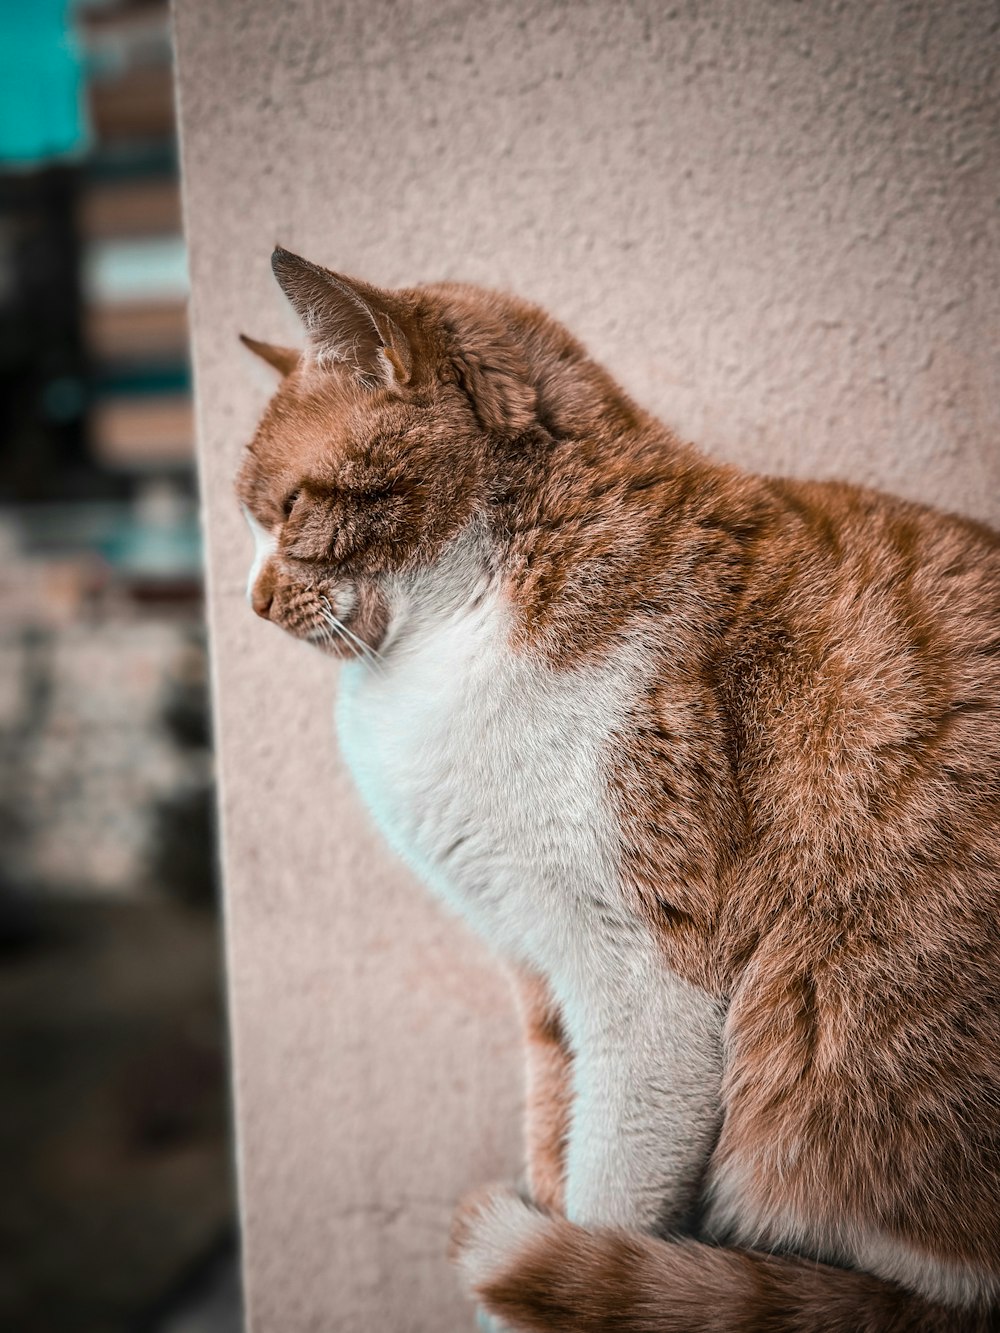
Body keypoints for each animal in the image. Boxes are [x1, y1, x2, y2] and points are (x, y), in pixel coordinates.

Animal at [237, 250, 1000, 1333]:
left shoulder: (645, 982)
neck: (447, 636)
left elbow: (606, 1203)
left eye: (291, 510)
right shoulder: (537, 971)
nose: (253, 603)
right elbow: (554, 1156)